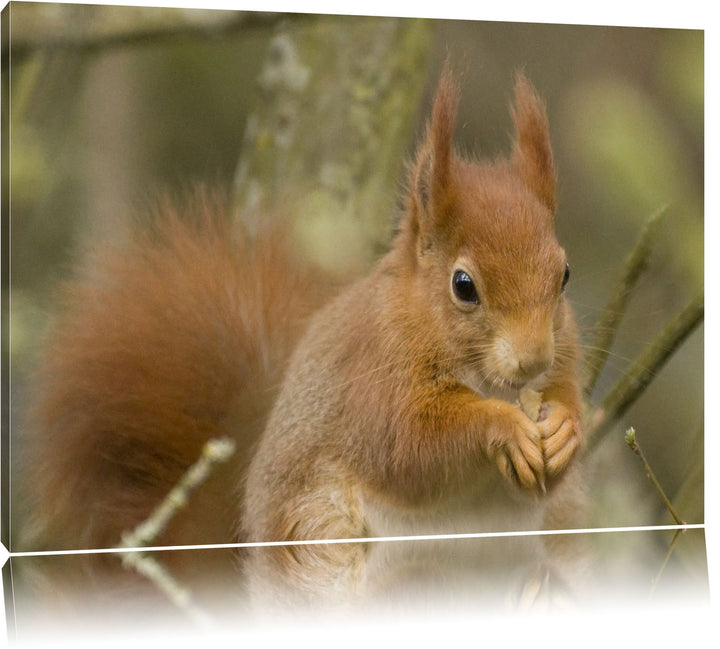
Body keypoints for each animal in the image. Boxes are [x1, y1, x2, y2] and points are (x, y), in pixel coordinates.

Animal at [22, 66, 585, 612]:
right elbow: (409, 447)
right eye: (463, 285)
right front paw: (502, 427)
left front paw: (563, 427)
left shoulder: (565, 358)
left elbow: (561, 413)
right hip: (318, 534)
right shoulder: (373, 379)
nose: (533, 361)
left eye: (564, 274)